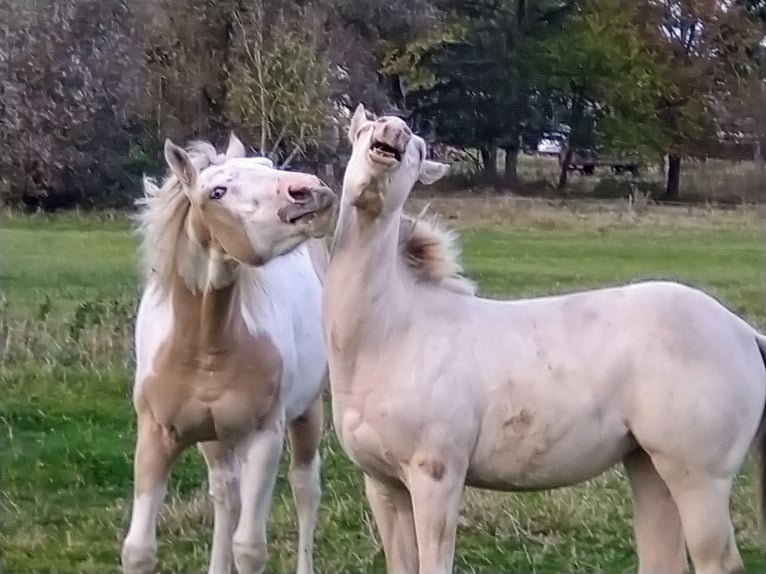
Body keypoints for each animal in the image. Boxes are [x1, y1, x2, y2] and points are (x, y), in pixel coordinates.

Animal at [121, 134, 334, 574]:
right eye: (216, 192)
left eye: (267, 165)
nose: (309, 191)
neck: (206, 348)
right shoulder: (155, 435)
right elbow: (138, 550)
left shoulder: (264, 437)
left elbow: (249, 547)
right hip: (216, 438)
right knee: (226, 493)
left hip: (307, 411)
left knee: (305, 487)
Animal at [324, 104, 766, 574]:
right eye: (365, 131)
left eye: (420, 149)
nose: (393, 134)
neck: (394, 336)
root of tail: (743, 333)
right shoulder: (383, 484)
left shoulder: (436, 478)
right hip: (650, 468)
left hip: (699, 480)